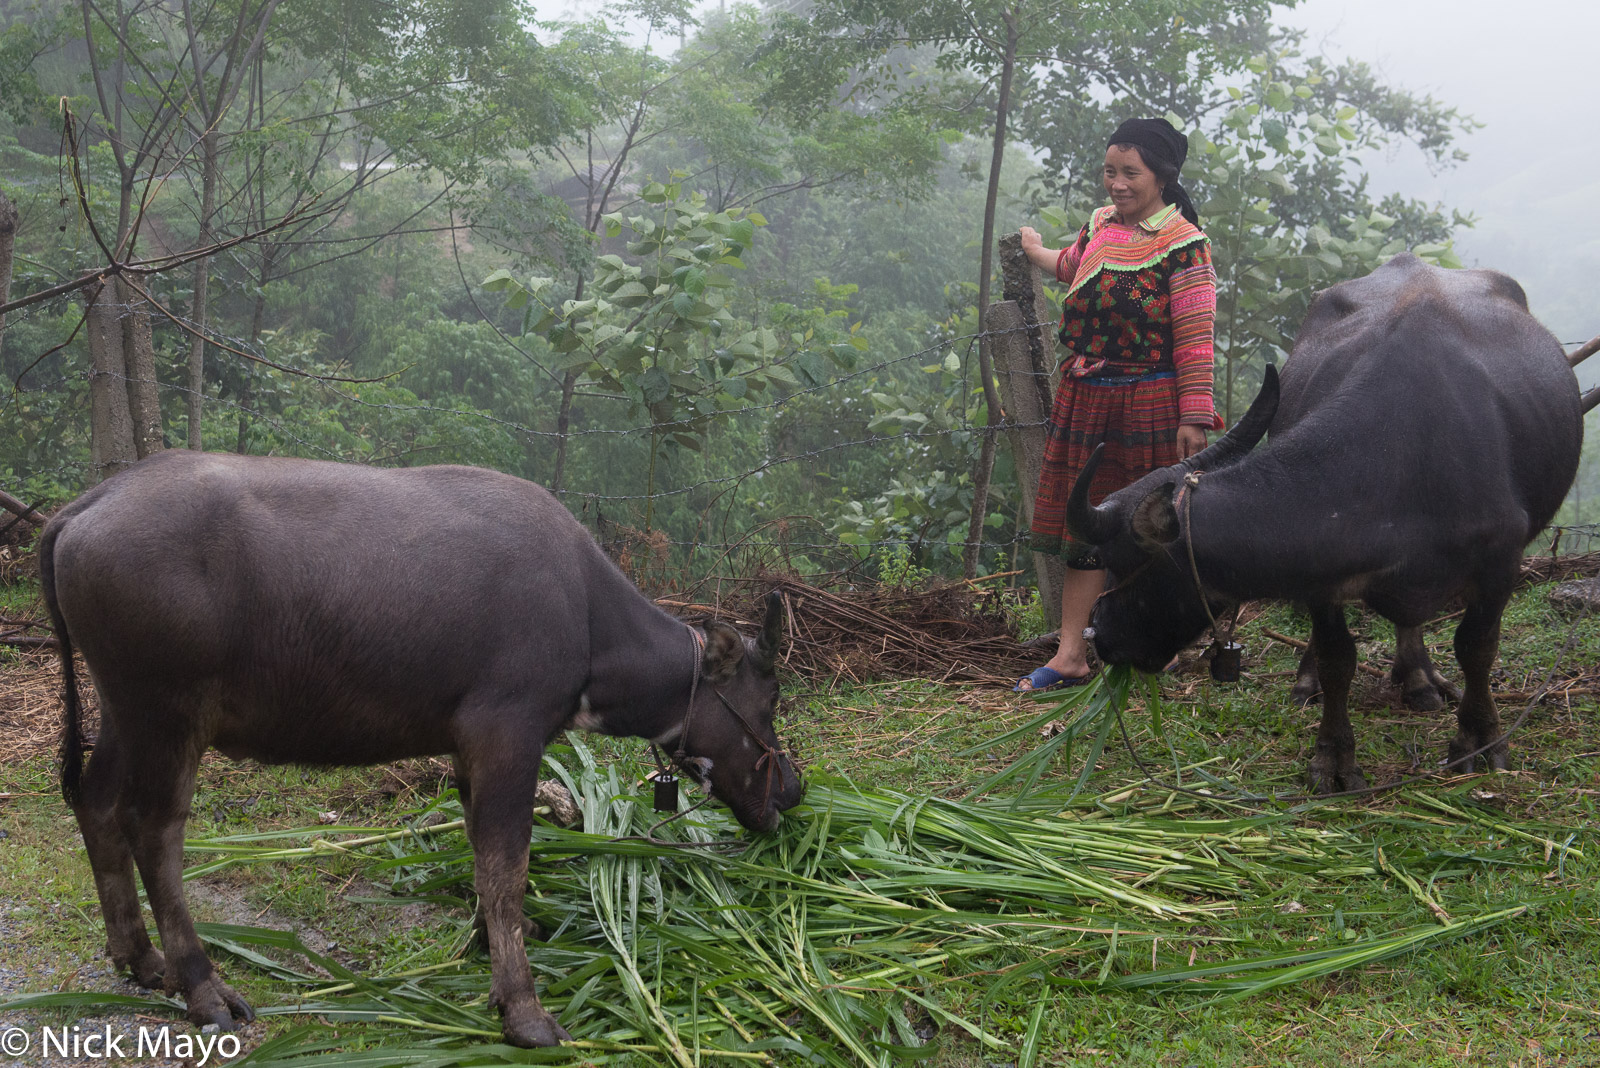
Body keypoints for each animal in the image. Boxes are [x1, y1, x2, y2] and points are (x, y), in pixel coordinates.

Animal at [43, 450, 806, 1042]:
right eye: (768, 700)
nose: (794, 790)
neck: (585, 614)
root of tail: (87, 504)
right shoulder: (509, 735)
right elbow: (506, 863)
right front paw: (523, 1008)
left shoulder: (469, 748)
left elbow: (480, 854)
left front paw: (487, 944)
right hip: (168, 716)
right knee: (154, 829)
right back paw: (203, 986)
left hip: (123, 712)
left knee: (97, 802)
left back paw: (139, 955)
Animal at [1068, 254, 1580, 793]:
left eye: (1120, 562)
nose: (1100, 636)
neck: (1403, 455)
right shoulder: (1319, 573)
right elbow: (1339, 661)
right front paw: (1333, 757)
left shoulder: (1501, 563)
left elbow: (1477, 649)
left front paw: (1479, 739)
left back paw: (1420, 678)